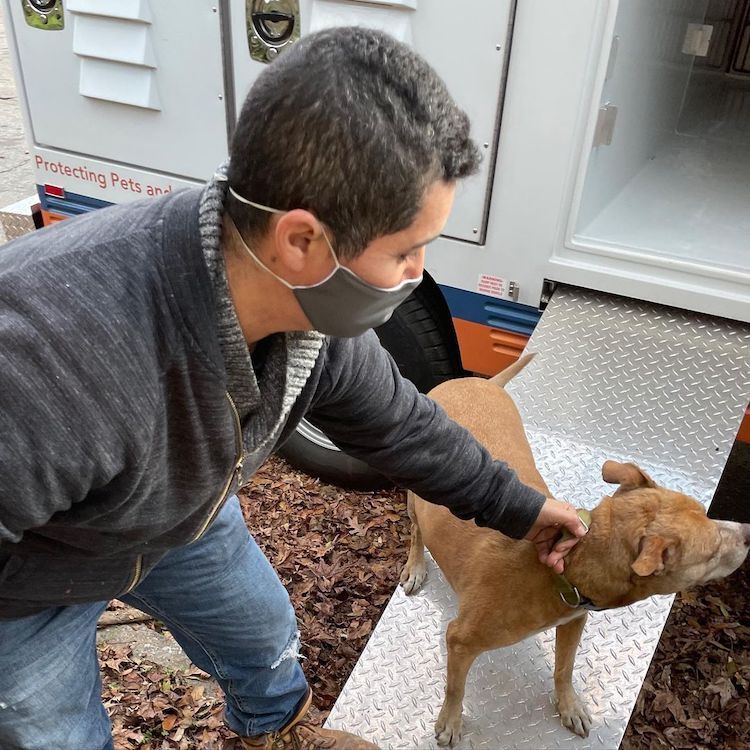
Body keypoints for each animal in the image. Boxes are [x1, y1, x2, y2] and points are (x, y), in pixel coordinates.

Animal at [402, 356, 748, 748]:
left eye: (708, 514)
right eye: (712, 549)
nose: (748, 532)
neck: (561, 569)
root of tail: (478, 381)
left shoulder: (574, 621)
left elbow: (564, 669)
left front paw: (568, 706)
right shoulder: (459, 640)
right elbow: (454, 688)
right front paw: (450, 720)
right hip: (415, 494)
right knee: (416, 530)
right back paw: (415, 566)